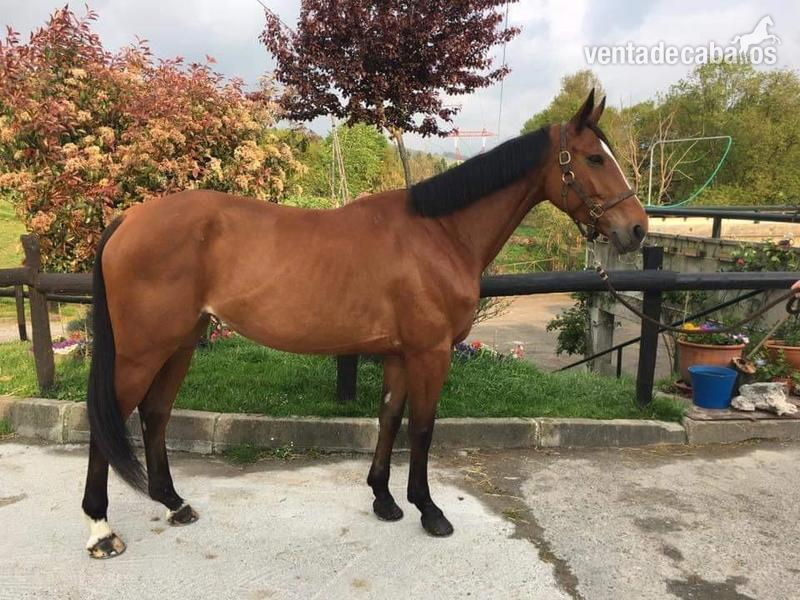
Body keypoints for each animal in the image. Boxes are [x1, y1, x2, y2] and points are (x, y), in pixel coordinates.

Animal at [81, 90, 648, 558]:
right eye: (595, 158)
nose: (637, 229)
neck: (439, 233)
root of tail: (130, 219)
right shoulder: (430, 353)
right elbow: (422, 427)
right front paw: (430, 511)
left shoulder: (398, 354)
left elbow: (389, 418)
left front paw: (384, 500)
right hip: (142, 350)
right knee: (110, 417)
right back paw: (101, 531)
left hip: (181, 342)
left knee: (155, 413)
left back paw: (174, 503)